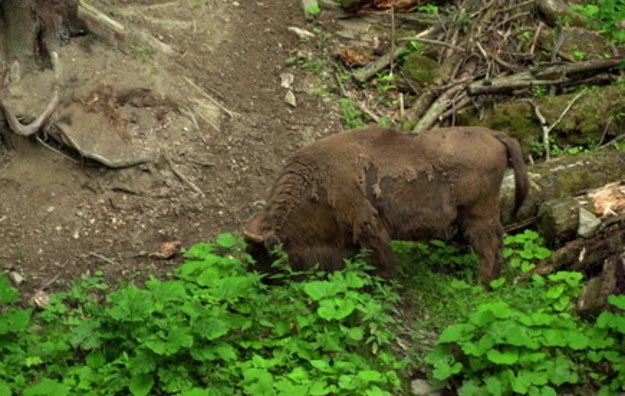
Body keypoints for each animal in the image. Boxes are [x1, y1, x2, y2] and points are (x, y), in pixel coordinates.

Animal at [244, 127, 528, 284]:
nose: (256, 278)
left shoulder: (368, 225)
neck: (319, 179)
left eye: (262, 253)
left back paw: (482, 284)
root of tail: (492, 133)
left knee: (488, 245)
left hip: (478, 212)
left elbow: (382, 258)